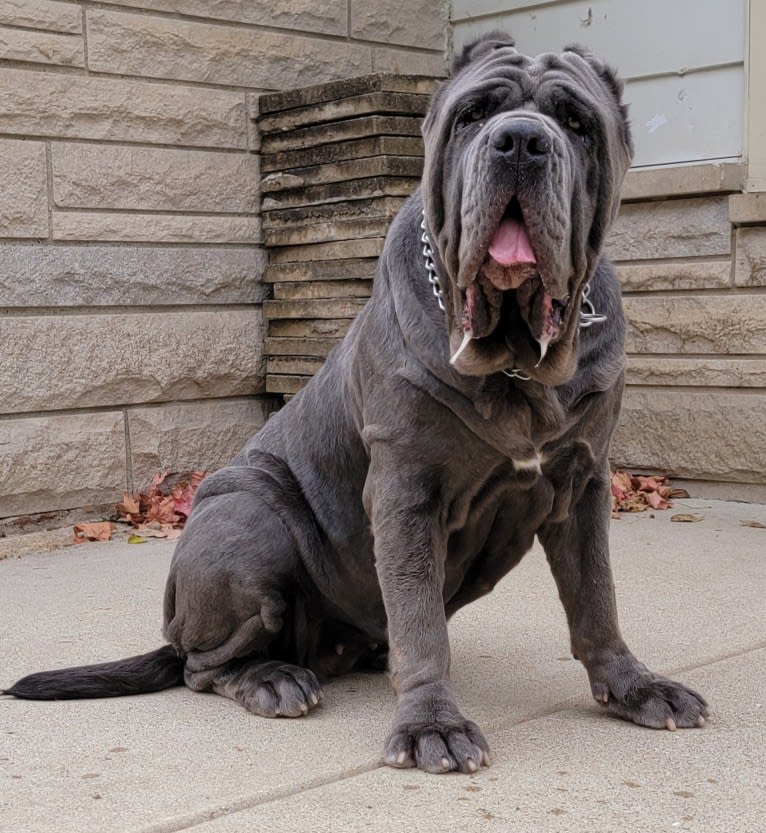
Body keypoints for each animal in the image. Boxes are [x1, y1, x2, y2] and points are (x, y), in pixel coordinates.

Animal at [4, 32, 708, 772]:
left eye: (576, 122)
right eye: (474, 114)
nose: (519, 141)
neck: (516, 351)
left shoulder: (583, 481)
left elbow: (596, 597)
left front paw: (633, 685)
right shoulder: (405, 488)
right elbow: (423, 624)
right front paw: (432, 723)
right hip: (247, 516)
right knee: (203, 664)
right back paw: (272, 678)